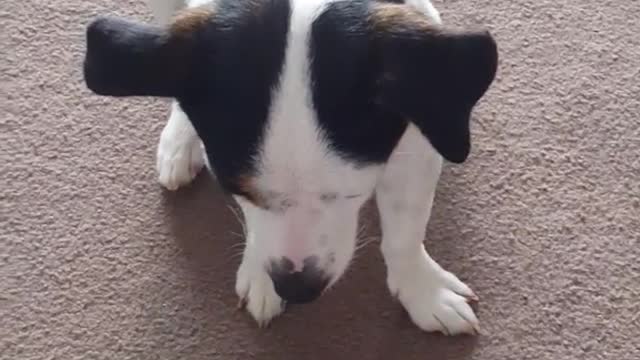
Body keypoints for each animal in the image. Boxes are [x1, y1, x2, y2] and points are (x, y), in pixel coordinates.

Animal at [82, 0, 498, 336]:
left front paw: (422, 289)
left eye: (352, 194)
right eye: (237, 189)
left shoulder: (419, 133)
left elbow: (404, 234)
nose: (298, 289)